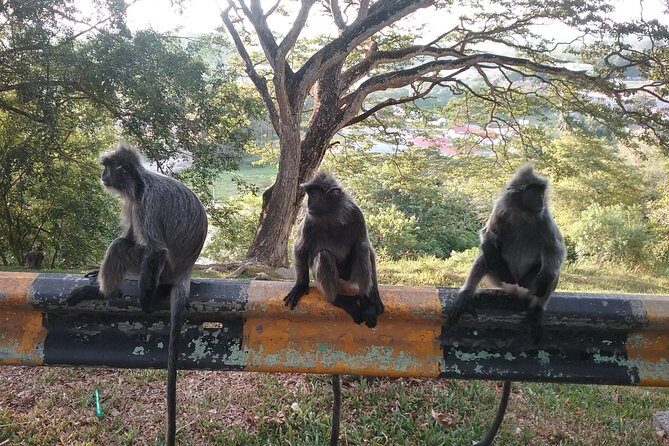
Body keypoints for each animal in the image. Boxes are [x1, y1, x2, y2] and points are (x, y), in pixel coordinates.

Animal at [73, 144, 207, 446]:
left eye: (109, 168)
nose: (103, 175)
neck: (140, 185)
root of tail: (185, 271)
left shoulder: (146, 204)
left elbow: (154, 248)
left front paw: (146, 303)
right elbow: (132, 234)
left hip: (162, 271)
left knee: (123, 247)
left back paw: (105, 293)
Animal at [284, 171, 384, 327]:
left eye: (314, 195)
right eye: (309, 194)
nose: (308, 203)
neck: (331, 216)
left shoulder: (356, 214)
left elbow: (368, 248)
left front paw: (375, 296)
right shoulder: (309, 221)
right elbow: (300, 248)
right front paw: (300, 286)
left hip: (349, 279)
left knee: (362, 248)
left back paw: (366, 302)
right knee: (324, 255)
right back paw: (337, 299)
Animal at [449, 164, 566, 343]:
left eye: (541, 193)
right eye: (534, 193)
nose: (541, 201)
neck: (523, 213)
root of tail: (516, 286)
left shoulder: (544, 217)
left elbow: (556, 249)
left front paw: (545, 278)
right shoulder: (501, 210)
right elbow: (487, 234)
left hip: (528, 283)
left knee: (552, 271)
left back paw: (537, 308)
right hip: (501, 279)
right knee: (486, 255)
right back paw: (466, 294)